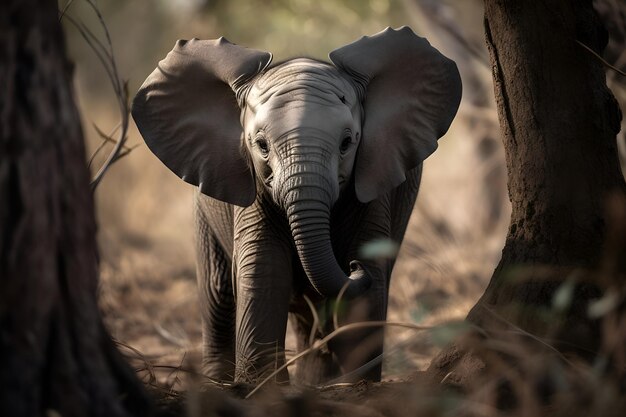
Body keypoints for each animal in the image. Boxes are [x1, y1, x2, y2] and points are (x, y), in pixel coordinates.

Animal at [132, 26, 460, 384]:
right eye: (261, 145)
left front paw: (355, 385)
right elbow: (264, 269)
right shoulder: (253, 188)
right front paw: (260, 387)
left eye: (348, 143)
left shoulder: (373, 180)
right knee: (218, 295)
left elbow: (370, 276)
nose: (352, 268)